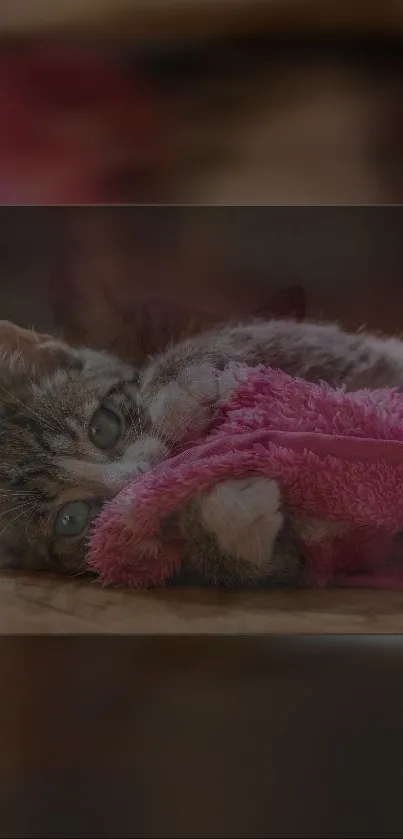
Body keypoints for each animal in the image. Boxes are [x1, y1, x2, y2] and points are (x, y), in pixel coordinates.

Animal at [0, 318, 403, 580]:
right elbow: (300, 558)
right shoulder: (333, 553)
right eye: (71, 520)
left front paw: (177, 388)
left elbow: (257, 335)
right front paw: (226, 518)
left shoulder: (318, 344)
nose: (137, 477)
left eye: (103, 427)